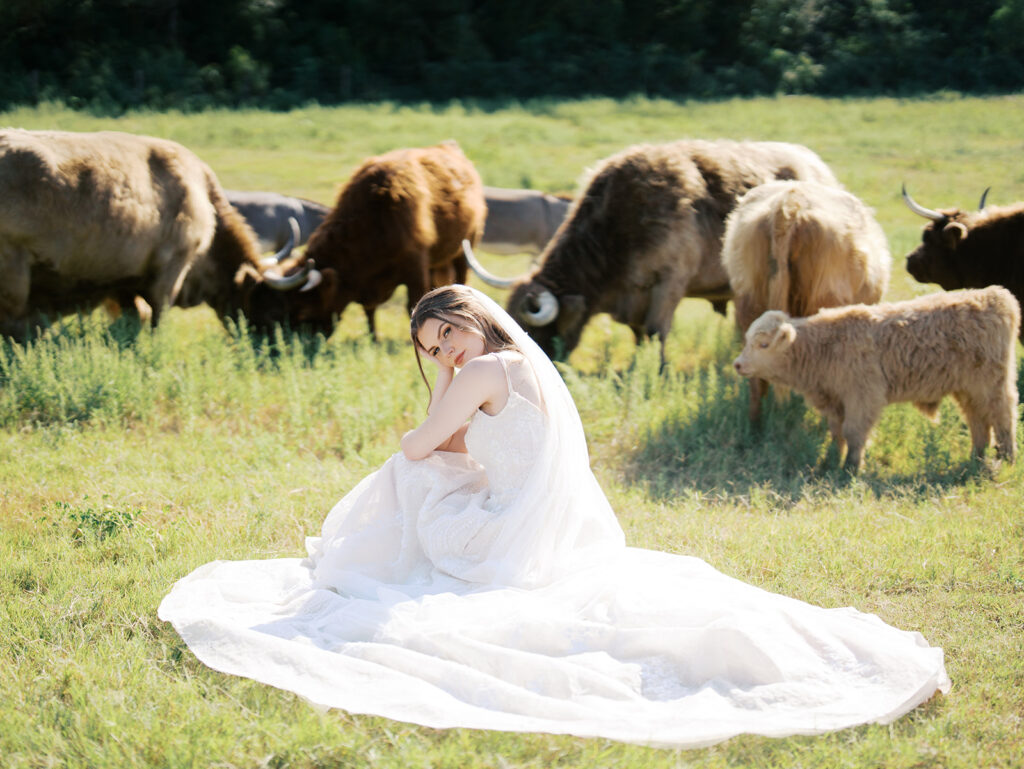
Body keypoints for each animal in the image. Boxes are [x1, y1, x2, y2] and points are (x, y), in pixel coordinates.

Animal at [0, 128, 304, 339]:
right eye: (271, 308)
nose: (269, 344)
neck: (201, 192)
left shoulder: (123, 282)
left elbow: (132, 322)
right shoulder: (171, 270)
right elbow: (158, 318)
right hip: (15, 276)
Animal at [259, 141, 486, 338]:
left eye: (302, 309)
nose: (302, 341)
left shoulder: (415, 266)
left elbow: (414, 306)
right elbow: (370, 309)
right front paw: (373, 338)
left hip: (464, 250)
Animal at [463, 139, 841, 366]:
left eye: (526, 329)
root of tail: (818, 168)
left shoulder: (669, 285)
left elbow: (657, 331)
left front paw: (657, 371)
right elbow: (639, 334)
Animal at [732, 287, 1019, 473]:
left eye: (763, 344)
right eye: (747, 339)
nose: (738, 364)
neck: (823, 347)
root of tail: (995, 295)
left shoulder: (863, 397)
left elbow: (854, 433)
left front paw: (851, 469)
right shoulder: (836, 402)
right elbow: (837, 433)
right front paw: (830, 462)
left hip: (993, 384)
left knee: (1003, 416)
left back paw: (1007, 458)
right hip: (967, 389)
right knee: (978, 421)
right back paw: (976, 458)